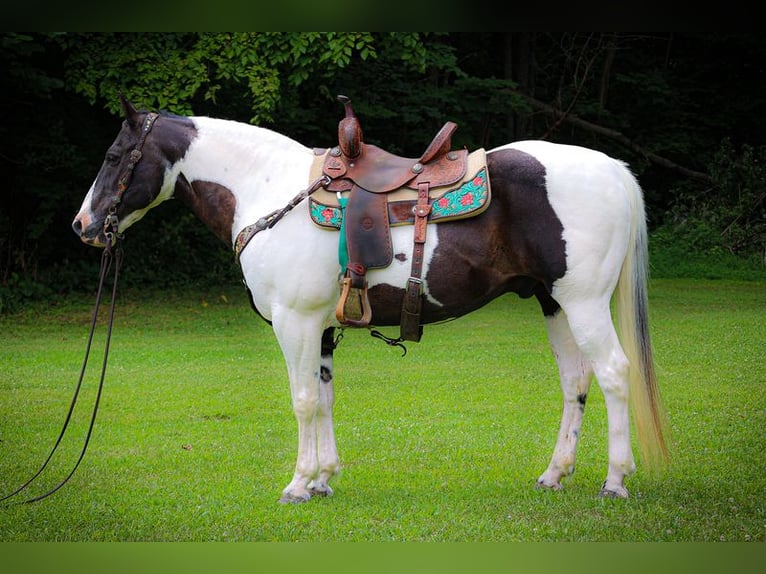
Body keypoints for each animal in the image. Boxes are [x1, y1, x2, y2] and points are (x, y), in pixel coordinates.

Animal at [72, 96, 669, 503]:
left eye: (115, 155)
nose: (83, 226)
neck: (267, 190)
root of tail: (612, 168)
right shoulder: (321, 328)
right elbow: (324, 398)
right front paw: (323, 479)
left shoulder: (295, 323)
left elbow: (302, 400)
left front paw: (298, 484)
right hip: (554, 303)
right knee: (576, 382)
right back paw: (555, 473)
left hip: (584, 302)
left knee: (614, 373)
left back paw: (615, 480)